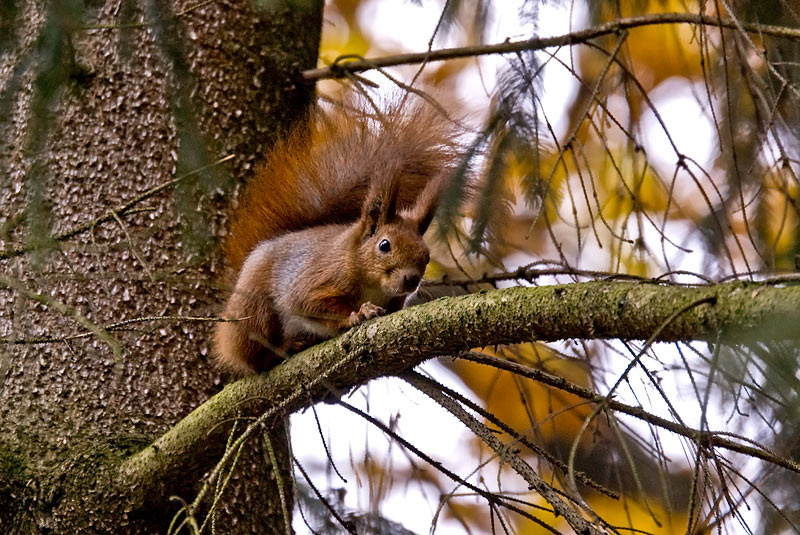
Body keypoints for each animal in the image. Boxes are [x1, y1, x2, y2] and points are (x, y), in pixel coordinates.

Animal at [213, 97, 462, 373]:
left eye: (426, 256)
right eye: (384, 245)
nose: (411, 279)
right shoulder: (317, 278)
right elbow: (310, 304)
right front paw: (358, 313)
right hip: (255, 311)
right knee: (253, 356)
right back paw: (284, 348)